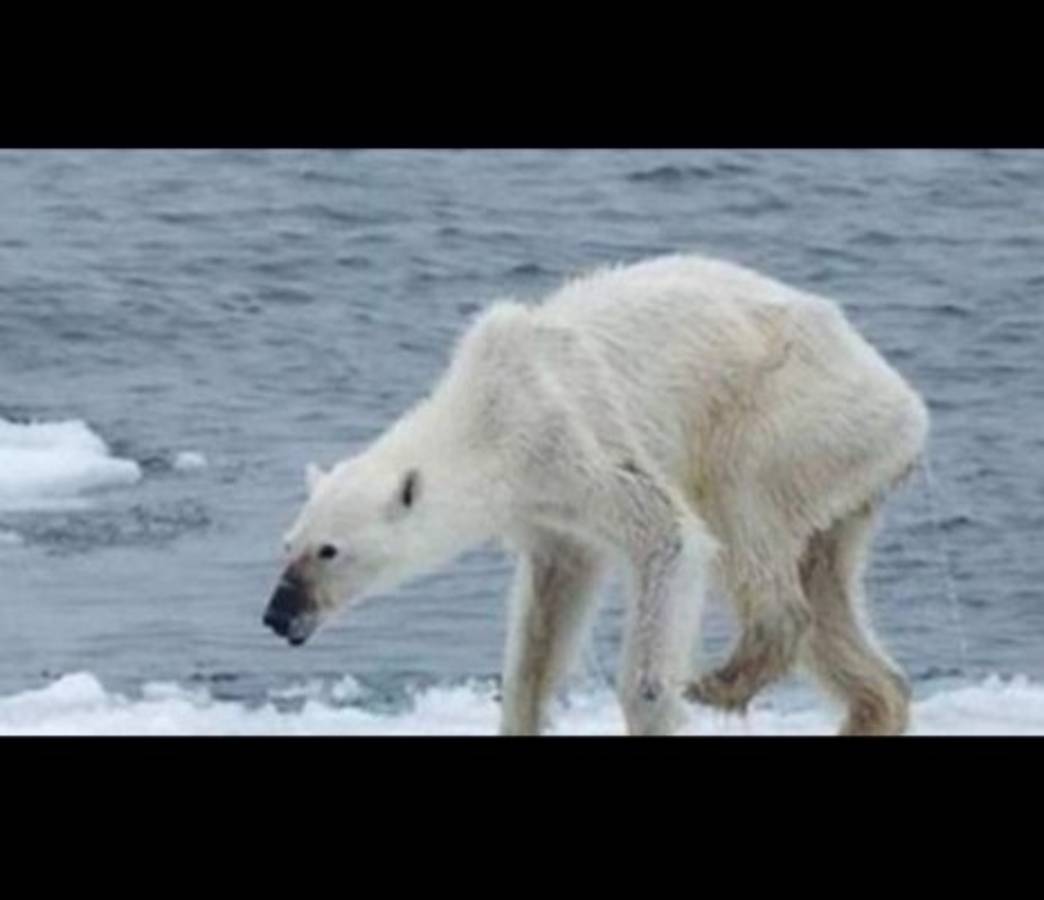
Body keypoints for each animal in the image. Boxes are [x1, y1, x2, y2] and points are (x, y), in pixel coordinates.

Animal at [263, 253, 929, 736]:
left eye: (329, 550)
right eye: (287, 544)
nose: (277, 614)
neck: (488, 410)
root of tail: (906, 405)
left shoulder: (570, 440)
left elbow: (669, 536)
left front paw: (656, 705)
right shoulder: (545, 514)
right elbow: (548, 611)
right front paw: (522, 709)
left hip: (791, 414)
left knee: (743, 510)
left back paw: (724, 678)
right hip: (844, 477)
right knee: (827, 588)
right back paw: (874, 704)